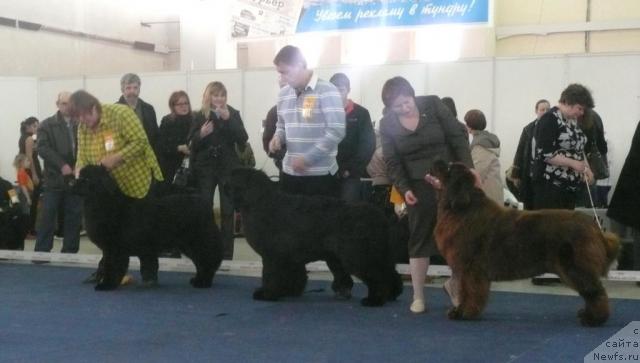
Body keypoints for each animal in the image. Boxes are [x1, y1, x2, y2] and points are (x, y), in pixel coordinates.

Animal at [74, 166, 222, 292]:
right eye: (79, 175)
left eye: (86, 179)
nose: (71, 183)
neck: (104, 202)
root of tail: (204, 203)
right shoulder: (110, 249)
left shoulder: (115, 249)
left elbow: (112, 267)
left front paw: (106, 285)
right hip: (188, 245)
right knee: (201, 262)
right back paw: (197, 280)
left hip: (198, 241)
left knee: (208, 260)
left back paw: (203, 282)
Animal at [229, 168, 400, 308]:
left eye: (234, 177)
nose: (225, 181)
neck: (260, 202)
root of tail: (379, 217)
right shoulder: (289, 258)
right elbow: (292, 275)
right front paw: (287, 291)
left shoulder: (273, 256)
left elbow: (270, 276)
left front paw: (267, 294)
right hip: (377, 254)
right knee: (389, 273)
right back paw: (391, 294)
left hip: (358, 256)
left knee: (378, 276)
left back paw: (374, 300)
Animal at [428, 162, 616, 328]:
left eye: (448, 168)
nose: (437, 160)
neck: (462, 209)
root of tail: (593, 226)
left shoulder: (470, 268)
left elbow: (470, 292)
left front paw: (464, 313)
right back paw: (587, 314)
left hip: (576, 267)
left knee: (596, 292)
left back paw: (594, 319)